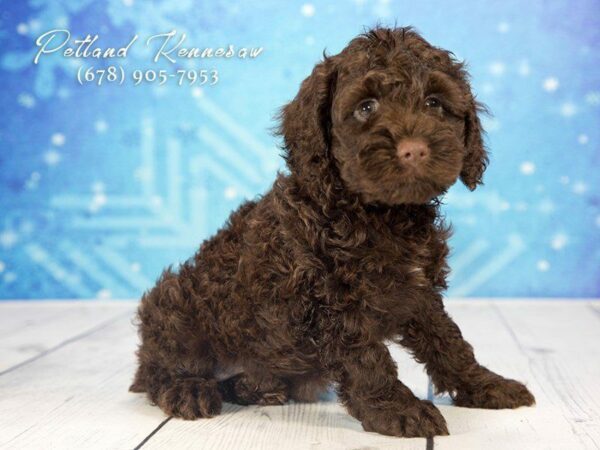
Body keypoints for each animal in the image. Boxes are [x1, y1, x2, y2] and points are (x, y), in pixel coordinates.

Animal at [131, 27, 536, 436]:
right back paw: (188, 389)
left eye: (434, 102)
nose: (414, 150)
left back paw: (254, 387)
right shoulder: (333, 302)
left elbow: (448, 341)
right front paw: (399, 409)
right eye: (366, 107)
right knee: (157, 368)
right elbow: (368, 359)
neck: (380, 214)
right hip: (177, 302)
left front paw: (485, 384)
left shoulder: (419, 293)